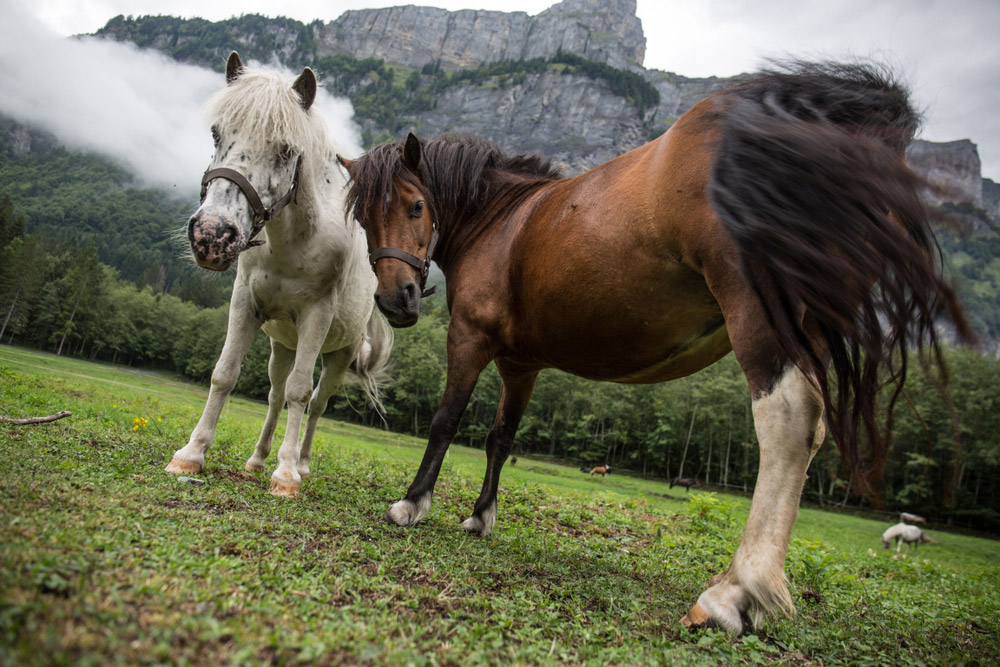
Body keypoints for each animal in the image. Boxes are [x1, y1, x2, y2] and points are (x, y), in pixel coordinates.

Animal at [166, 54, 388, 498]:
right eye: (216, 133)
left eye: (286, 150)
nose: (212, 235)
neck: (292, 245)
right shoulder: (245, 303)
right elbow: (225, 375)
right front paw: (191, 453)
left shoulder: (317, 316)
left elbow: (301, 393)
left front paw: (286, 475)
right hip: (282, 344)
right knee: (274, 394)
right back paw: (257, 459)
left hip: (338, 354)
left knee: (316, 402)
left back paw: (300, 463)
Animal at [340, 61, 972, 632]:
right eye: (365, 219)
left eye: (416, 206)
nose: (396, 300)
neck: (502, 221)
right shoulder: (522, 365)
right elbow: (500, 439)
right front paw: (480, 517)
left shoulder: (469, 339)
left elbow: (445, 421)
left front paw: (412, 503)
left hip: (759, 311)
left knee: (789, 421)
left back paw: (735, 592)